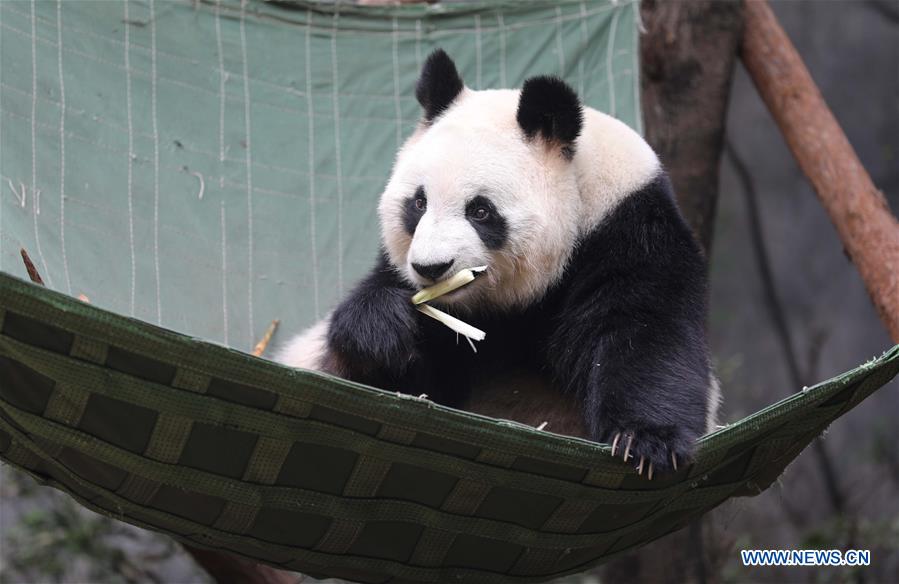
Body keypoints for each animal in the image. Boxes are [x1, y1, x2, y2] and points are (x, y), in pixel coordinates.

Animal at [278, 50, 720, 476]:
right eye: (418, 203)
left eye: (480, 211)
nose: (432, 268)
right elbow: (404, 380)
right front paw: (382, 329)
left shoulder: (629, 230)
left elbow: (645, 330)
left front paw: (646, 442)